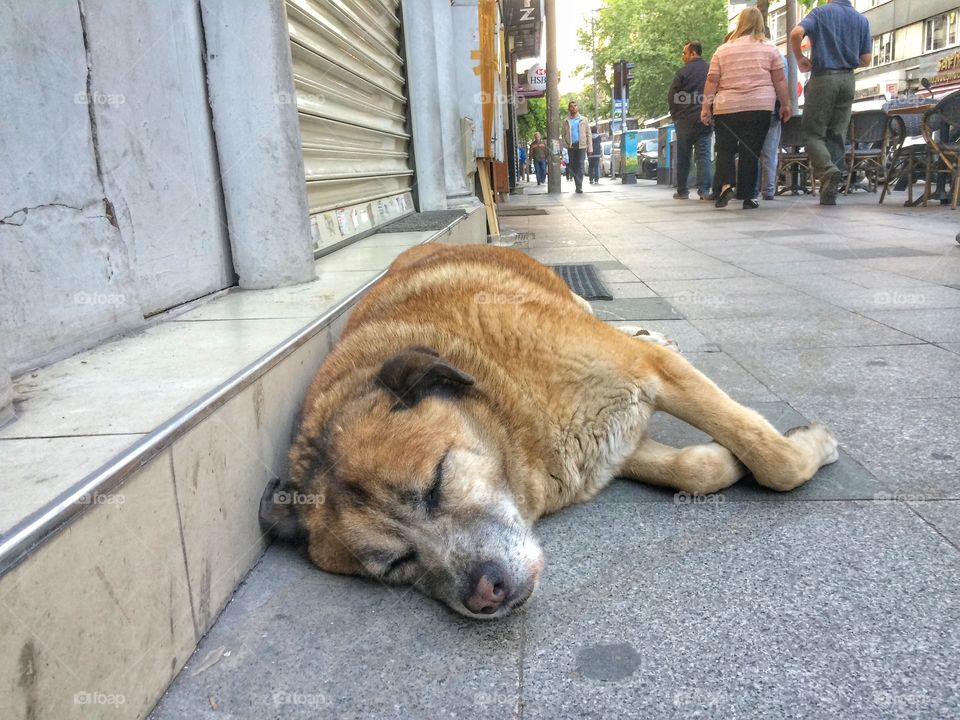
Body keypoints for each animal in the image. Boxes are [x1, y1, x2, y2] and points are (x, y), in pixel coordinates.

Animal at [258, 242, 836, 620]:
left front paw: (809, 446)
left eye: (436, 483)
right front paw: (725, 459)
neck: (508, 405)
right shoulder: (607, 449)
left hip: (582, 310)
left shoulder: (646, 374)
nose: (485, 593)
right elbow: (696, 469)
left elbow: (776, 462)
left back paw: (650, 331)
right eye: (396, 564)